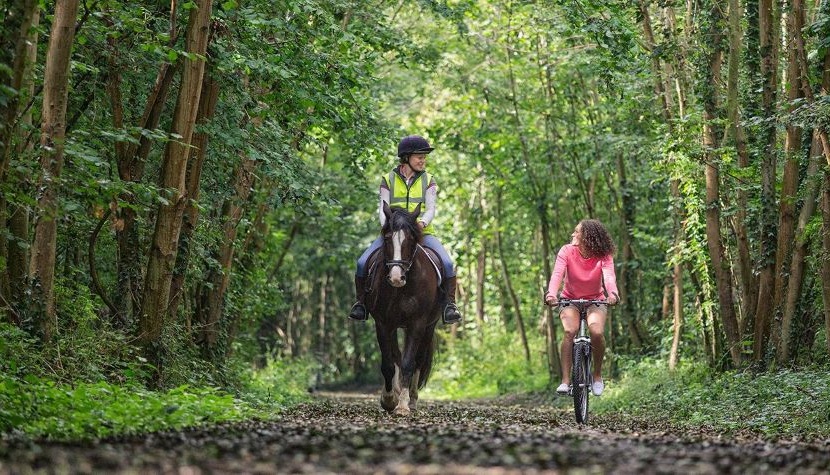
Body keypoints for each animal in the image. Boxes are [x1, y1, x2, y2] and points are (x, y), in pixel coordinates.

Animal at [368, 202, 446, 416]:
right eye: (387, 238)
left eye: (411, 239)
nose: (396, 277)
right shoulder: (383, 324)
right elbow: (389, 363)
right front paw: (388, 400)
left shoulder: (417, 324)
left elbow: (409, 363)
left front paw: (402, 405)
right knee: (395, 356)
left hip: (429, 327)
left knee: (419, 360)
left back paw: (412, 400)